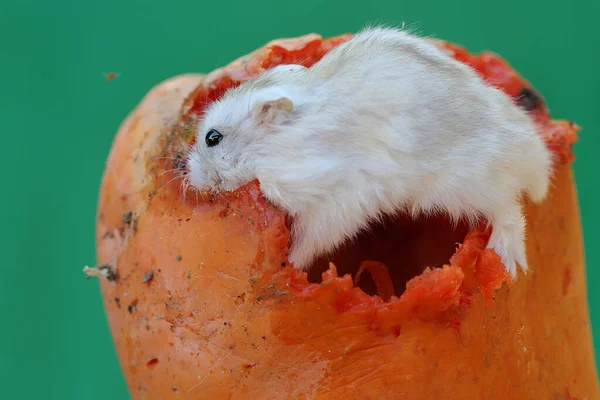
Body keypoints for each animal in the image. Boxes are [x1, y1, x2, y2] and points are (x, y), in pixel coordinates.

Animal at [186, 26, 552, 276]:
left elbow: (309, 241)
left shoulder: (335, 200)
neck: (277, 147)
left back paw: (509, 263)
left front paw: (290, 263)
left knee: (510, 212)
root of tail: (534, 156)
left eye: (212, 138)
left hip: (470, 184)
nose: (188, 174)